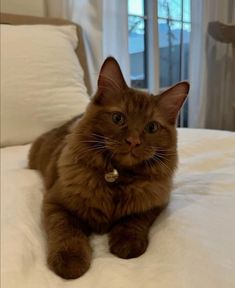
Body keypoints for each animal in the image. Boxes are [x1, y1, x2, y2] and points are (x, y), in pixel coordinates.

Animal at [28, 56, 189, 280]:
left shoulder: (154, 203)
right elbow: (66, 230)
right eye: (118, 118)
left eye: (152, 127)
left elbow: (134, 220)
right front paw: (70, 260)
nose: (133, 141)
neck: (118, 179)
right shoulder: (56, 202)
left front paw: (127, 242)